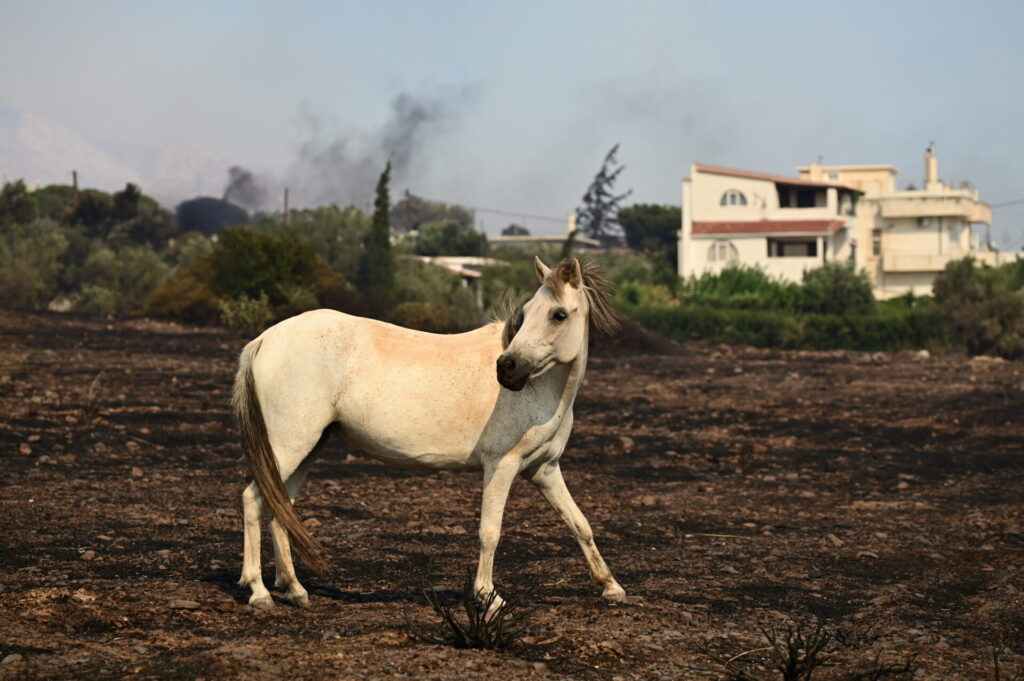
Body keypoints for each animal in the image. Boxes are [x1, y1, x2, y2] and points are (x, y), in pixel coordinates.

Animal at [234, 254, 622, 606]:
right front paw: (487, 595)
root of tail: (265, 339)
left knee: (280, 506)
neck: (542, 390)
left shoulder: (543, 469)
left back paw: (294, 589)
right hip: (288, 447)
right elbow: (490, 532)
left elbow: (579, 523)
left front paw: (611, 587)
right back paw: (259, 592)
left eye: (558, 314)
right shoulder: (501, 467)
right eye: (525, 315)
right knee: (254, 500)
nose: (507, 369)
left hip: (308, 448)